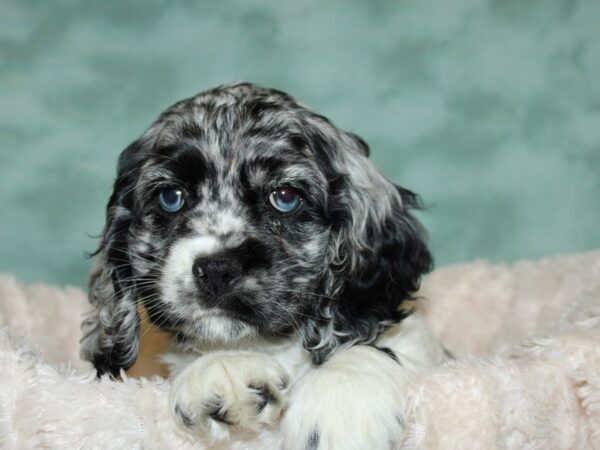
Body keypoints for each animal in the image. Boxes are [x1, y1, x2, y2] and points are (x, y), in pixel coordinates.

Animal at [78, 82, 446, 448]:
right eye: (171, 197)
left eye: (285, 197)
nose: (217, 269)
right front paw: (223, 367)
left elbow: (366, 346)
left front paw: (341, 406)